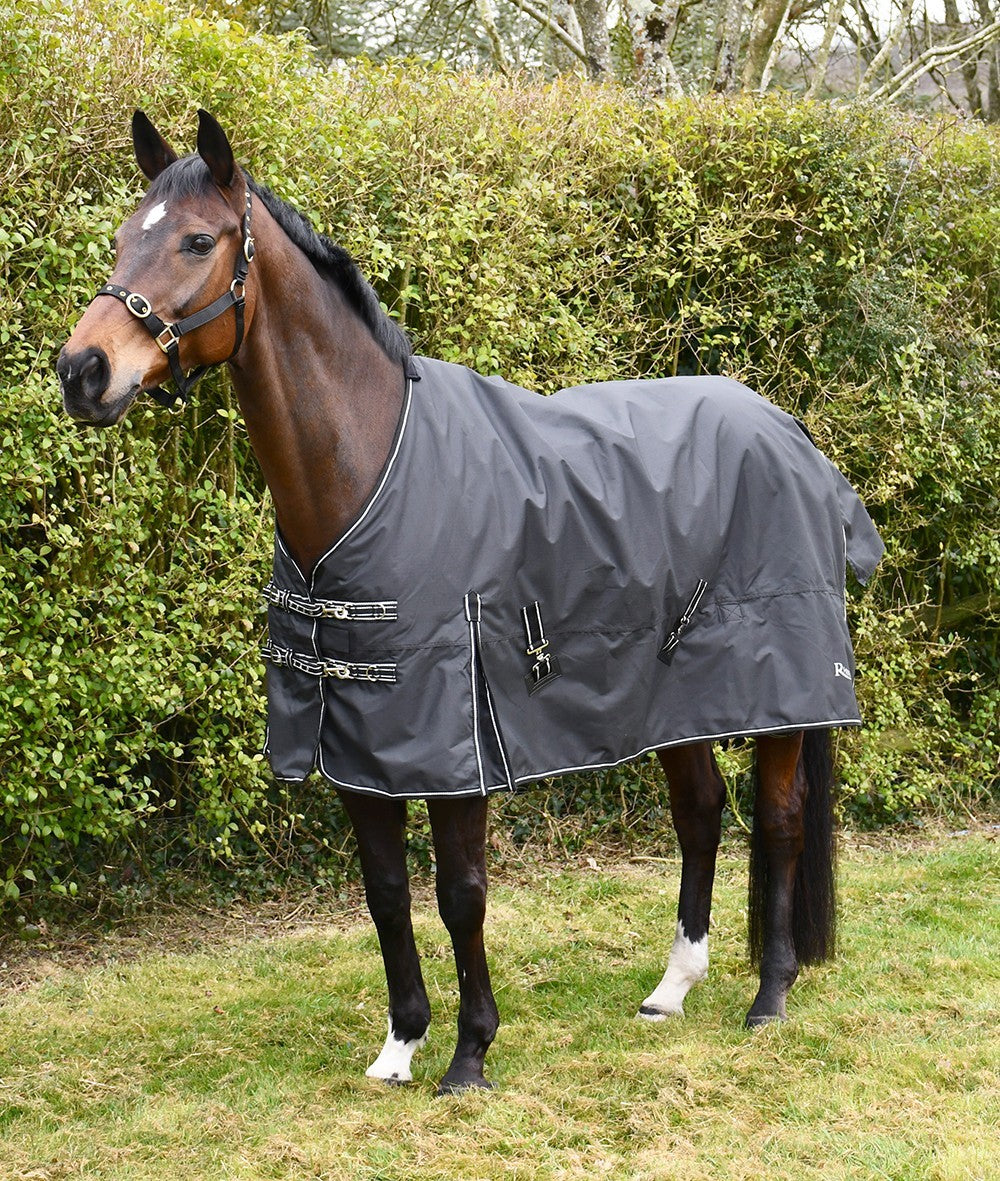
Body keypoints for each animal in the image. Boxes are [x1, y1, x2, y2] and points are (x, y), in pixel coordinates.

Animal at [58, 110, 882, 1095]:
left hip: (781, 697)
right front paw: (399, 1045)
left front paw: (469, 1052)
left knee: (781, 821)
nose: (81, 370)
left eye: (194, 241)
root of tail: (788, 430)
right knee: (701, 810)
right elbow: (384, 893)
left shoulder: (456, 740)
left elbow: (460, 894)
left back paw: (770, 996)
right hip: (676, 695)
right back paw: (671, 989)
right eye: (120, 239)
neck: (370, 468)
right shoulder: (357, 743)